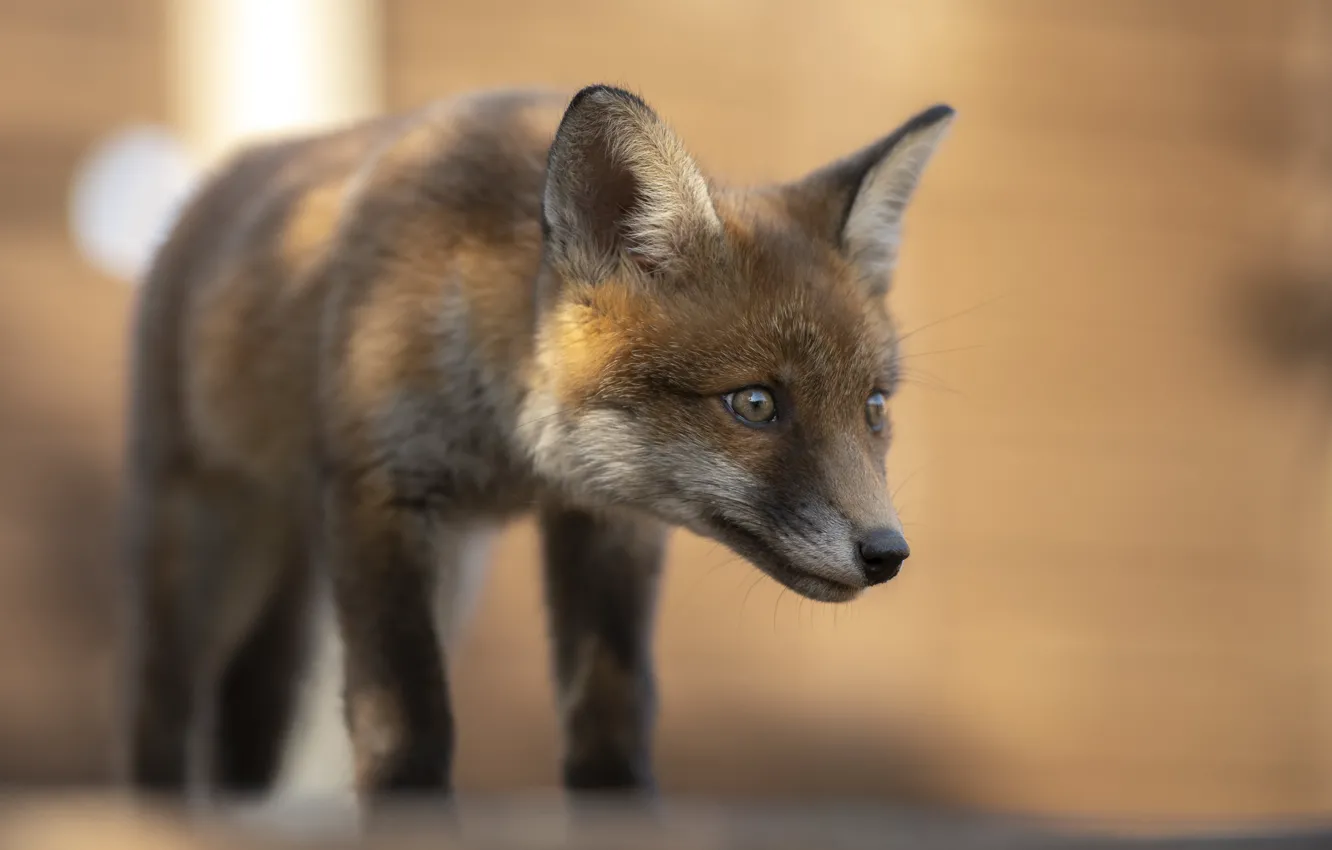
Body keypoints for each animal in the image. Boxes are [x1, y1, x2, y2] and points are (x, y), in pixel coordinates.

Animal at [119, 84, 955, 806]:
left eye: (874, 407)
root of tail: (225, 177)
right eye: (755, 404)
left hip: (441, 578)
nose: (887, 553)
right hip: (202, 553)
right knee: (164, 708)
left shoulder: (608, 522)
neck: (513, 453)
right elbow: (405, 720)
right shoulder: (377, 493)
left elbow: (610, 716)